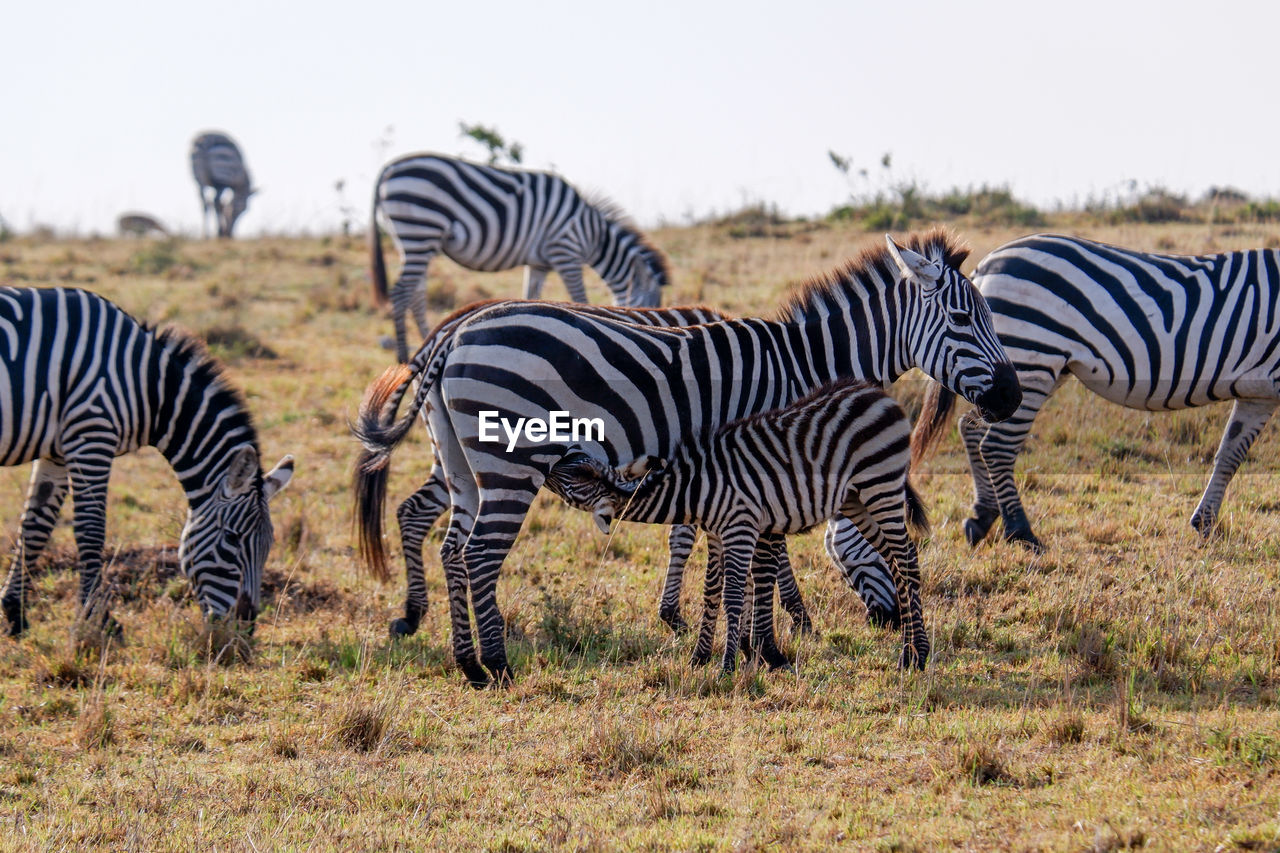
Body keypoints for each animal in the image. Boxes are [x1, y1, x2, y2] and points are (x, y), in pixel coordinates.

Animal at [0, 289, 294, 635]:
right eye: (232, 539)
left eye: (269, 545)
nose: (244, 629)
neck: (151, 387)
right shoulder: (91, 434)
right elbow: (90, 529)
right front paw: (97, 618)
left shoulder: (57, 451)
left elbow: (36, 526)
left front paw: (15, 613)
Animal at [368, 154, 670, 361]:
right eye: (649, 311)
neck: (593, 235)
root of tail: (389, 168)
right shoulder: (566, 252)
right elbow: (581, 298)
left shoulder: (539, 263)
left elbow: (531, 295)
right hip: (420, 228)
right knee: (401, 292)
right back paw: (403, 355)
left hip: (414, 240)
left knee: (415, 293)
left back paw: (424, 341)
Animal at [542, 376, 931, 671]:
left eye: (575, 477)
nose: (549, 458)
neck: (697, 488)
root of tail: (876, 394)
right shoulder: (717, 533)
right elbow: (711, 592)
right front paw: (700, 657)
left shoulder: (740, 528)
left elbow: (732, 595)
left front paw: (727, 666)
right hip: (856, 498)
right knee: (898, 560)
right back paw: (912, 651)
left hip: (880, 486)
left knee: (907, 558)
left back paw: (915, 656)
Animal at [911, 233, 1280, 550]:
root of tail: (987, 263)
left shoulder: (1258, 395)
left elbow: (1229, 455)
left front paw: (1204, 522)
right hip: (1031, 359)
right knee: (997, 446)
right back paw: (1020, 531)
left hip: (1024, 372)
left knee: (971, 429)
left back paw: (982, 516)